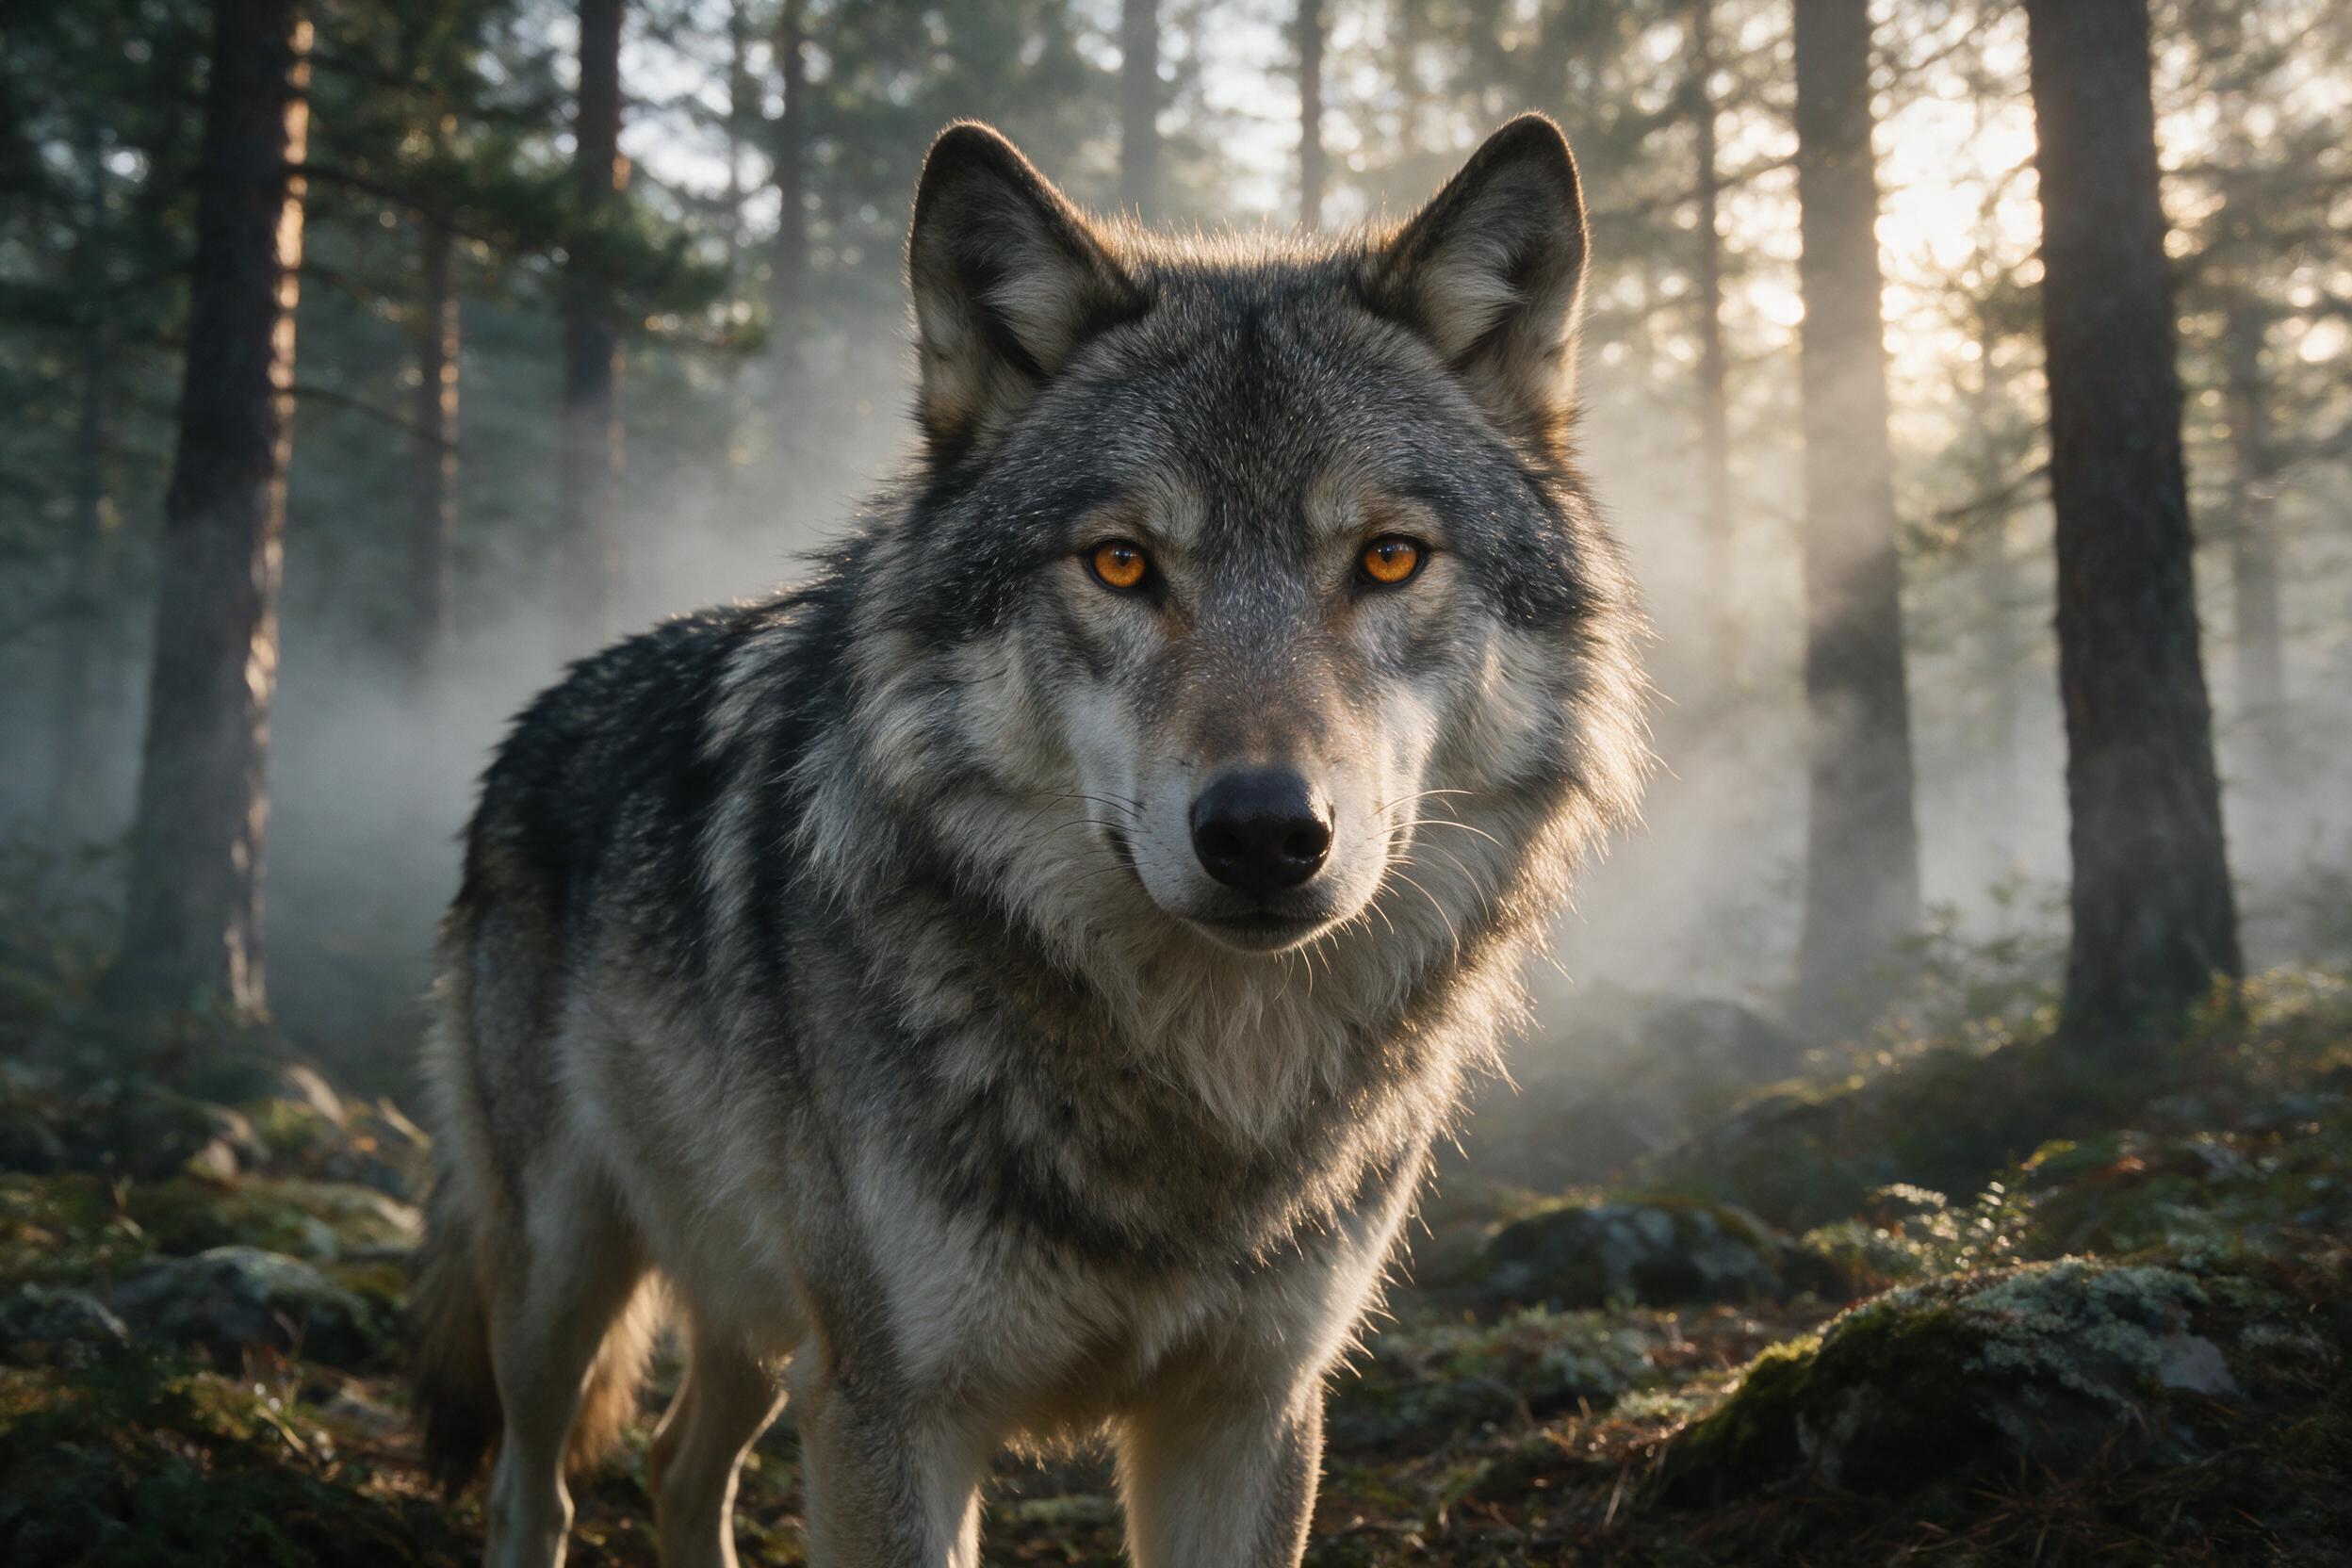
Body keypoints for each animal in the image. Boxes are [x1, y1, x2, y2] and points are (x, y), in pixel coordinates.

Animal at [410, 112, 1648, 1568]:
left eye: (1391, 558)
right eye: (1120, 564)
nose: (1265, 832)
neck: (1194, 1078)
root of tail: (533, 715)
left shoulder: (1250, 1412)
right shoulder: (895, 1412)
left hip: (762, 1322)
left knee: (675, 1462)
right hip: (567, 1280)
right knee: (534, 1483)